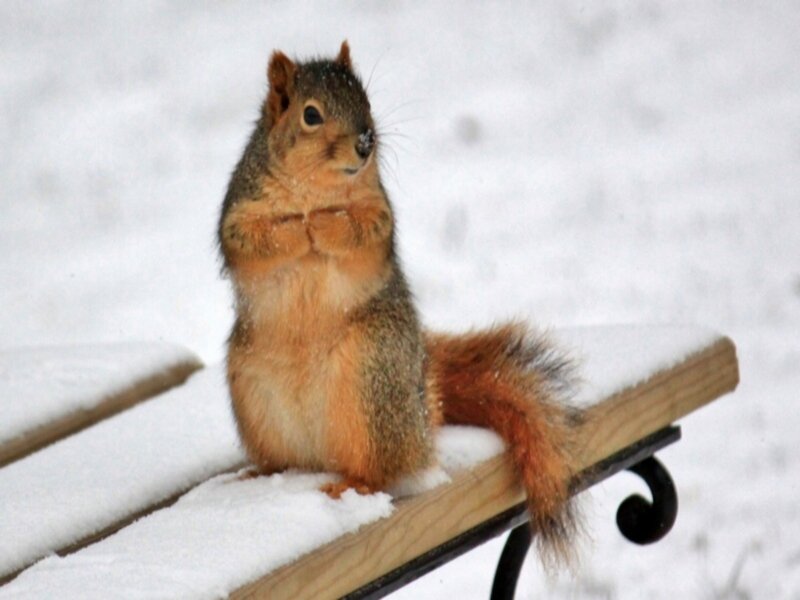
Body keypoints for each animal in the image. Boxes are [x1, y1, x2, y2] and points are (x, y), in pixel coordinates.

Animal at [218, 41, 580, 564]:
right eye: (310, 115)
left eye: (365, 98)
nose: (366, 142)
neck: (315, 189)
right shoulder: (239, 211)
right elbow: (249, 240)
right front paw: (297, 228)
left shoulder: (378, 213)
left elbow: (365, 232)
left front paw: (321, 224)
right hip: (253, 393)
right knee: (285, 461)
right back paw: (262, 473)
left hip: (373, 379)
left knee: (382, 471)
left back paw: (353, 485)